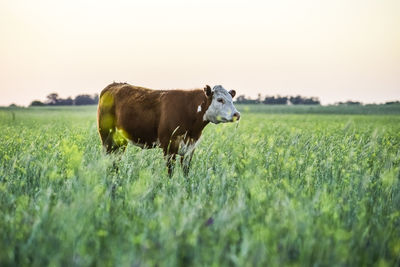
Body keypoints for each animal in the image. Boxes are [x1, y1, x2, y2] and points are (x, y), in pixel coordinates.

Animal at [97, 82, 241, 177]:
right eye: (220, 99)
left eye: (231, 100)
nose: (236, 114)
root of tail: (114, 85)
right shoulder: (168, 146)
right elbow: (170, 171)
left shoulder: (190, 148)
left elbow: (186, 171)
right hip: (106, 136)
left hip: (120, 141)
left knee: (115, 159)